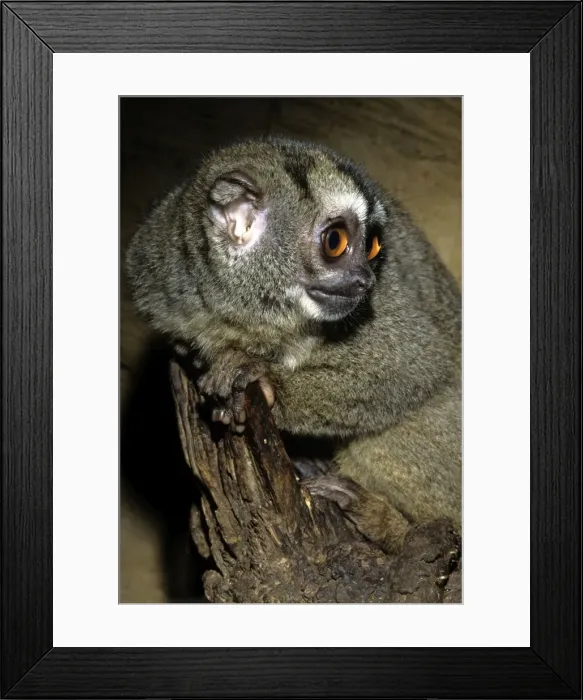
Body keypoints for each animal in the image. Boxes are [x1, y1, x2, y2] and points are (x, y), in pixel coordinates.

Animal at [125, 136, 461, 554]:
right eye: (336, 242)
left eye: (373, 248)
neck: (257, 314)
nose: (365, 280)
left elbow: (415, 365)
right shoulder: (159, 276)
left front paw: (262, 380)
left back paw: (389, 527)